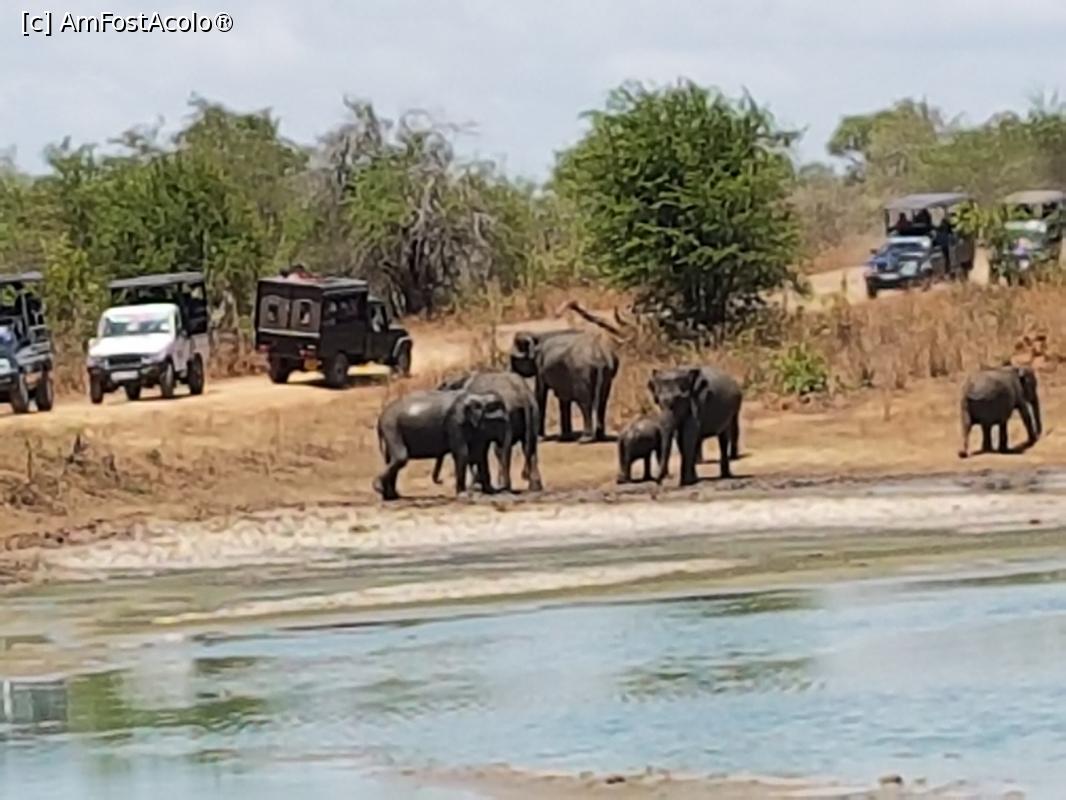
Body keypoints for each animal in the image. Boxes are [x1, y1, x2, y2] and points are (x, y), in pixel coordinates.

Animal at [374, 389, 510, 501]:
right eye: (500, 421)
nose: (441, 481)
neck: (479, 396)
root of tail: (380, 418)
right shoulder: (455, 424)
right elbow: (462, 453)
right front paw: (463, 496)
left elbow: (480, 455)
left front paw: (491, 491)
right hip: (391, 428)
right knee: (400, 457)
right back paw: (379, 488)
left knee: (391, 459)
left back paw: (391, 496)